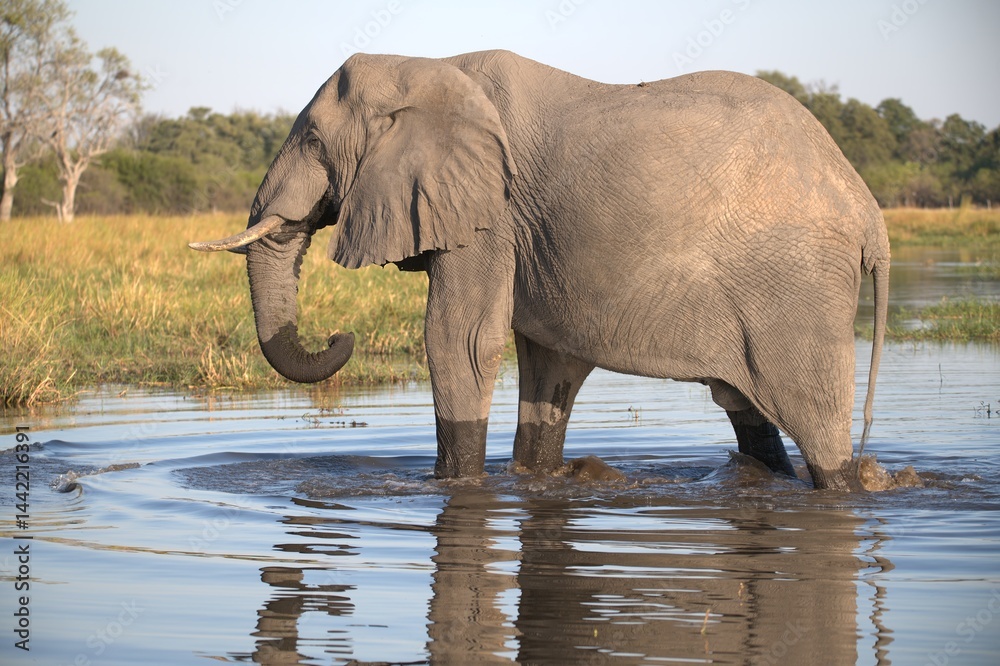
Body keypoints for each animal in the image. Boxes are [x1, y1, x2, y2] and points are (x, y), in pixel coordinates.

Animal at [191, 50, 889, 491]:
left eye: (312, 140)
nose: (340, 336)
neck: (426, 66)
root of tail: (868, 210)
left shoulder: (489, 212)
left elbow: (460, 340)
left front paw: (457, 486)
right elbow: (547, 363)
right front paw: (533, 479)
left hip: (796, 289)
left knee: (816, 429)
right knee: (746, 409)